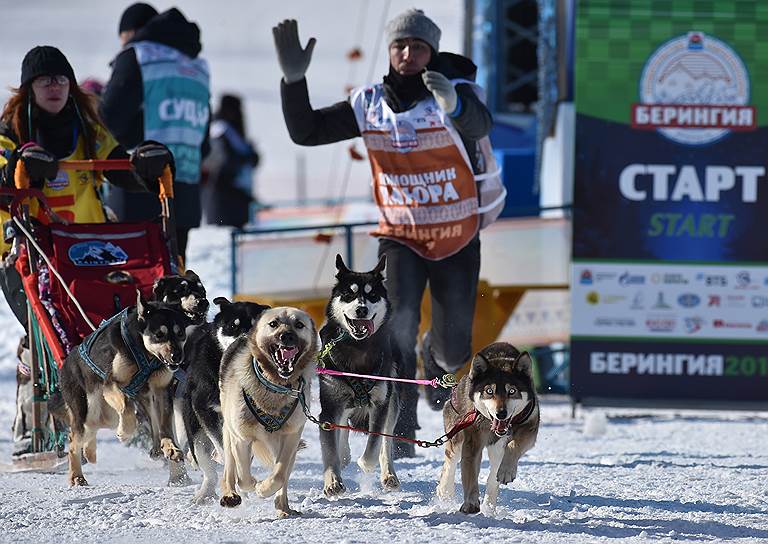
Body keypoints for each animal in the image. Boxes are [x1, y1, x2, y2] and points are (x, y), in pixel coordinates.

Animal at [60, 294, 192, 488]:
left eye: (180, 333)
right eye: (159, 334)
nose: (177, 356)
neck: (144, 352)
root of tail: (66, 363)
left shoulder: (161, 390)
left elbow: (164, 426)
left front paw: (170, 446)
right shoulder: (111, 383)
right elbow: (127, 409)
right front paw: (124, 432)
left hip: (108, 414)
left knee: (94, 429)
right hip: (88, 409)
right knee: (73, 441)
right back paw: (76, 476)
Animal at [219, 306, 318, 520]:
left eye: (299, 325)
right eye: (273, 324)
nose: (286, 336)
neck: (274, 386)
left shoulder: (291, 437)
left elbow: (279, 475)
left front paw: (264, 489)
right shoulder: (241, 438)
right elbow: (243, 477)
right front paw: (255, 485)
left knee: (282, 474)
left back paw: (283, 506)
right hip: (229, 432)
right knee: (230, 468)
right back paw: (230, 494)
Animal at [318, 255, 402, 498]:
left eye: (372, 295)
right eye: (349, 294)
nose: (361, 310)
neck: (358, 347)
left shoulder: (381, 403)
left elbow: (375, 440)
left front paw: (365, 463)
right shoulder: (329, 406)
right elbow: (330, 449)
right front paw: (332, 481)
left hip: (394, 400)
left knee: (386, 441)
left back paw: (389, 475)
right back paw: (344, 455)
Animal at [438, 342, 540, 512]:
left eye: (512, 391)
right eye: (489, 391)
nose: (501, 413)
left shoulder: (530, 428)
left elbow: (513, 445)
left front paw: (506, 471)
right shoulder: (472, 443)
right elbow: (470, 472)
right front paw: (471, 502)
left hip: (497, 450)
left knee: (493, 475)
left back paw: (490, 504)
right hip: (456, 438)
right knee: (449, 464)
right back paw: (445, 491)